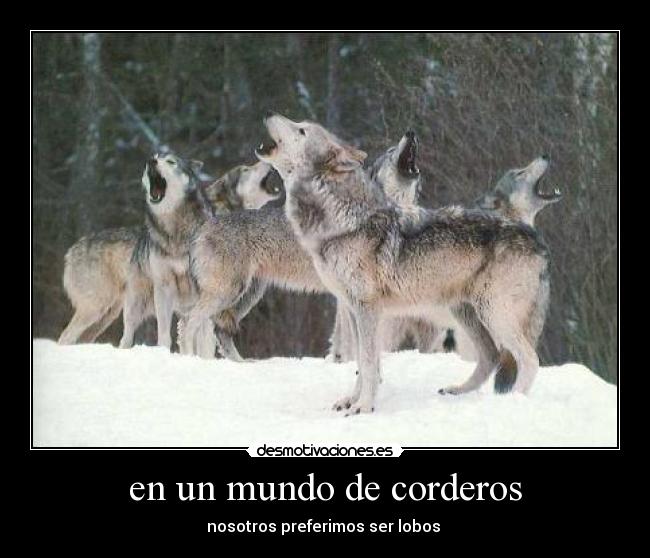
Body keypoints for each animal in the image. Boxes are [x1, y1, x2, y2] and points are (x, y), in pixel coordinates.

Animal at [59, 158, 281, 349]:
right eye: (245, 169)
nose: (266, 160)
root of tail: (72, 248)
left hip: (107, 314)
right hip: (107, 308)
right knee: (68, 336)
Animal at [256, 113, 550, 415]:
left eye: (301, 130)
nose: (270, 115)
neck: (342, 222)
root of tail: (535, 238)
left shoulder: (368, 310)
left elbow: (369, 363)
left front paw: (363, 407)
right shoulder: (353, 310)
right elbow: (362, 363)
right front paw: (352, 400)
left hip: (494, 313)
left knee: (529, 359)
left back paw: (513, 401)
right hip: (466, 314)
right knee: (491, 356)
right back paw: (457, 391)